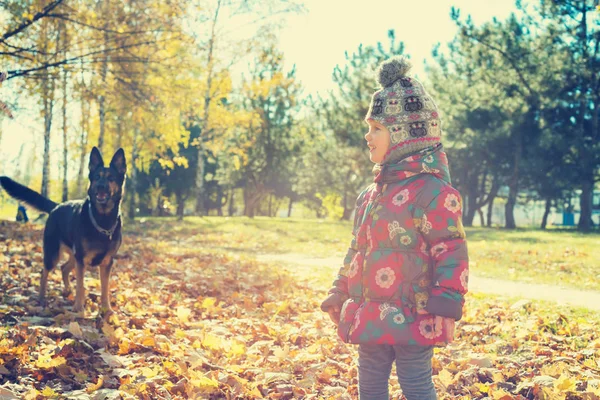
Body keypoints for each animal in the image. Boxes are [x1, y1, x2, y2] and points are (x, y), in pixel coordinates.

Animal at [0, 147, 126, 318]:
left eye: (111, 178)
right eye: (97, 177)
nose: (100, 186)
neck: (102, 220)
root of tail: (56, 206)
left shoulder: (106, 262)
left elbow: (104, 289)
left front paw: (107, 310)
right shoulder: (82, 260)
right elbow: (81, 286)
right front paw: (79, 308)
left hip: (73, 256)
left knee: (64, 268)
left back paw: (67, 291)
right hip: (54, 254)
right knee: (45, 271)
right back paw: (41, 298)